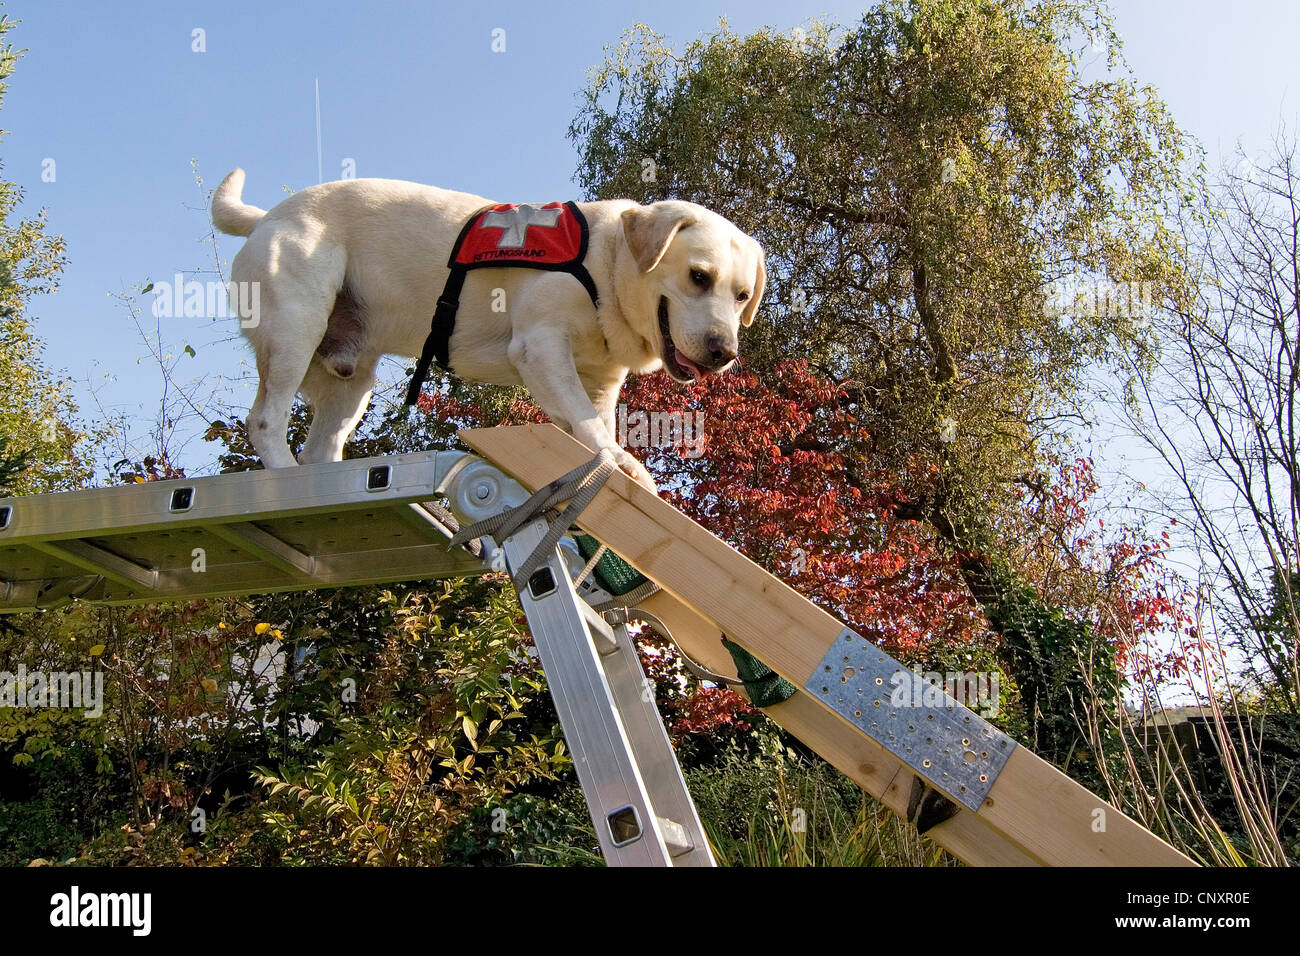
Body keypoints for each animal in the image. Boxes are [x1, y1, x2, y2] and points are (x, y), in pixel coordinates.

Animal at [210, 167, 759, 489]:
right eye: (698, 276)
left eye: (742, 297)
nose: (723, 352)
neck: (606, 263)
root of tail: (267, 216)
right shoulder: (540, 346)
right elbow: (586, 423)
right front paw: (616, 459)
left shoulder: (601, 382)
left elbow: (592, 421)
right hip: (297, 328)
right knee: (265, 420)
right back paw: (281, 475)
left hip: (351, 382)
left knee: (319, 449)